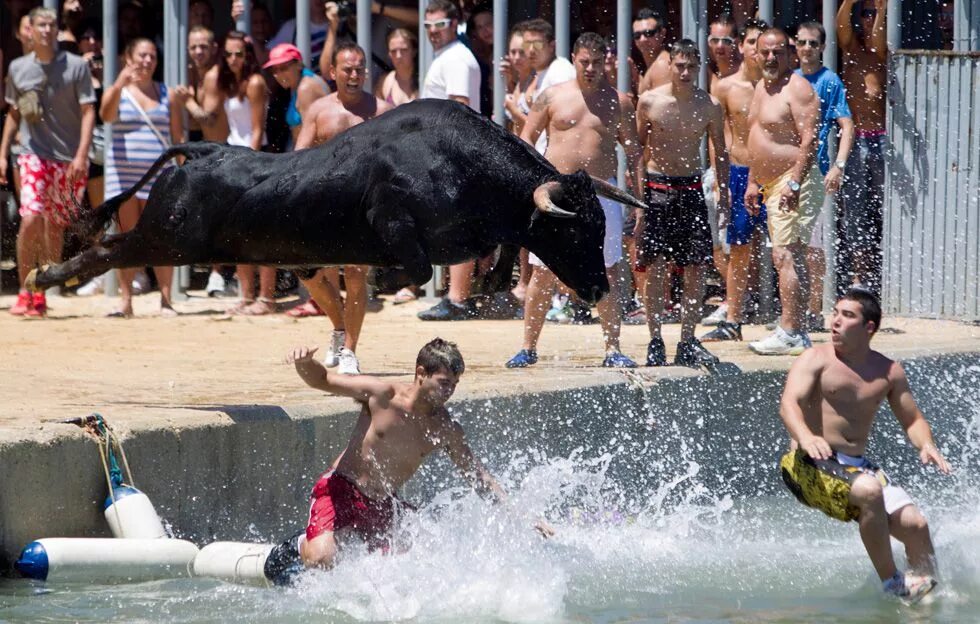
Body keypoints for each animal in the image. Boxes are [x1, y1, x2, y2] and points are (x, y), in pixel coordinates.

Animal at [26, 100, 644, 304]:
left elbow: (498, 252)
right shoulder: (390, 218)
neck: (466, 164)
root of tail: (201, 151)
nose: (599, 289)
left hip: (171, 241)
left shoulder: (487, 234)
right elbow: (417, 263)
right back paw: (45, 274)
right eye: (572, 230)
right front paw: (385, 282)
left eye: (600, 228)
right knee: (107, 249)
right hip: (167, 238)